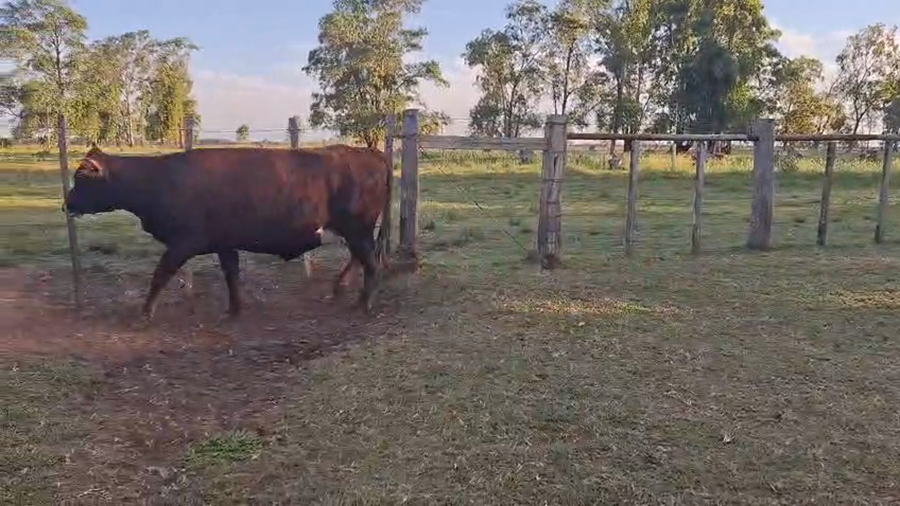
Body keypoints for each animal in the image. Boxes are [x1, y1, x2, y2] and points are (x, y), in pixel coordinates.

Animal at [63, 144, 392, 320]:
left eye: (82, 179)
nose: (66, 203)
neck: (158, 180)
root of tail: (369, 151)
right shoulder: (224, 242)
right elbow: (231, 275)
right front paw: (235, 309)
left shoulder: (184, 242)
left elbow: (160, 274)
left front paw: (145, 313)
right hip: (354, 232)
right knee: (361, 259)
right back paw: (340, 289)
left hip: (358, 229)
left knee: (371, 264)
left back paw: (363, 303)